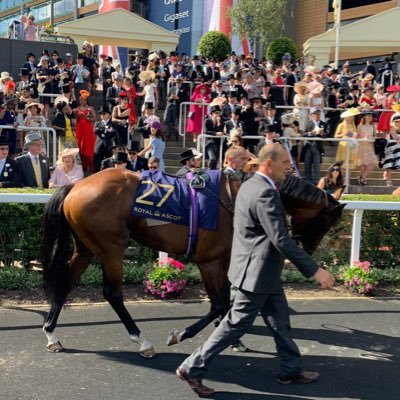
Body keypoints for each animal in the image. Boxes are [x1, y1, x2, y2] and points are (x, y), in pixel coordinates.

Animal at [40, 168, 346, 356]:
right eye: (328, 222)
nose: (308, 248)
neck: (236, 198)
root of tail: (75, 185)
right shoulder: (207, 261)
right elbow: (218, 304)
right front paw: (181, 334)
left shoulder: (223, 259)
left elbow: (226, 301)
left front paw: (234, 339)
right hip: (111, 249)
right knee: (113, 293)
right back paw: (142, 341)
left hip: (87, 248)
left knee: (66, 284)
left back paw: (52, 335)